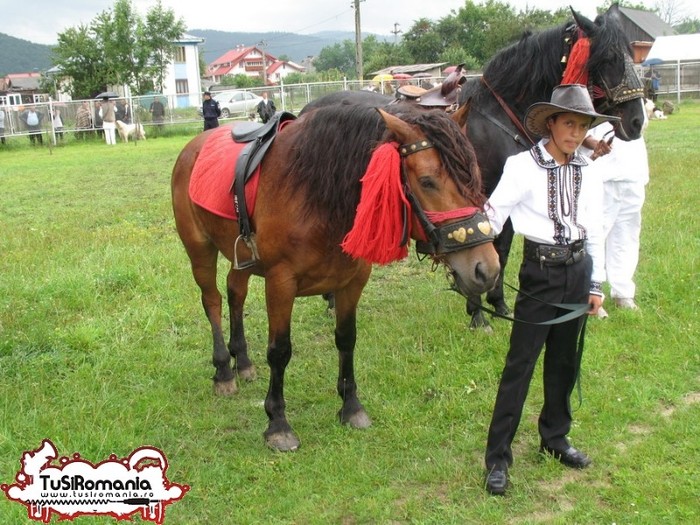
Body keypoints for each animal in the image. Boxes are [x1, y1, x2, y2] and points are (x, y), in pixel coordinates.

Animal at [171, 102, 498, 450]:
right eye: (426, 181)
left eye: (474, 178)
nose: (486, 268)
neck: (316, 197)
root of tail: (195, 144)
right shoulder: (280, 282)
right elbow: (280, 350)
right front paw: (278, 422)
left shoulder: (352, 281)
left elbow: (346, 339)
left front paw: (351, 406)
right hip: (199, 249)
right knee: (213, 301)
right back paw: (223, 369)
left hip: (240, 256)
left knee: (235, 293)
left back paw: (242, 361)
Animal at [460, 4, 644, 330]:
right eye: (608, 58)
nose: (637, 121)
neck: (497, 116)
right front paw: (478, 315)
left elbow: (501, 249)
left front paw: (498, 304)